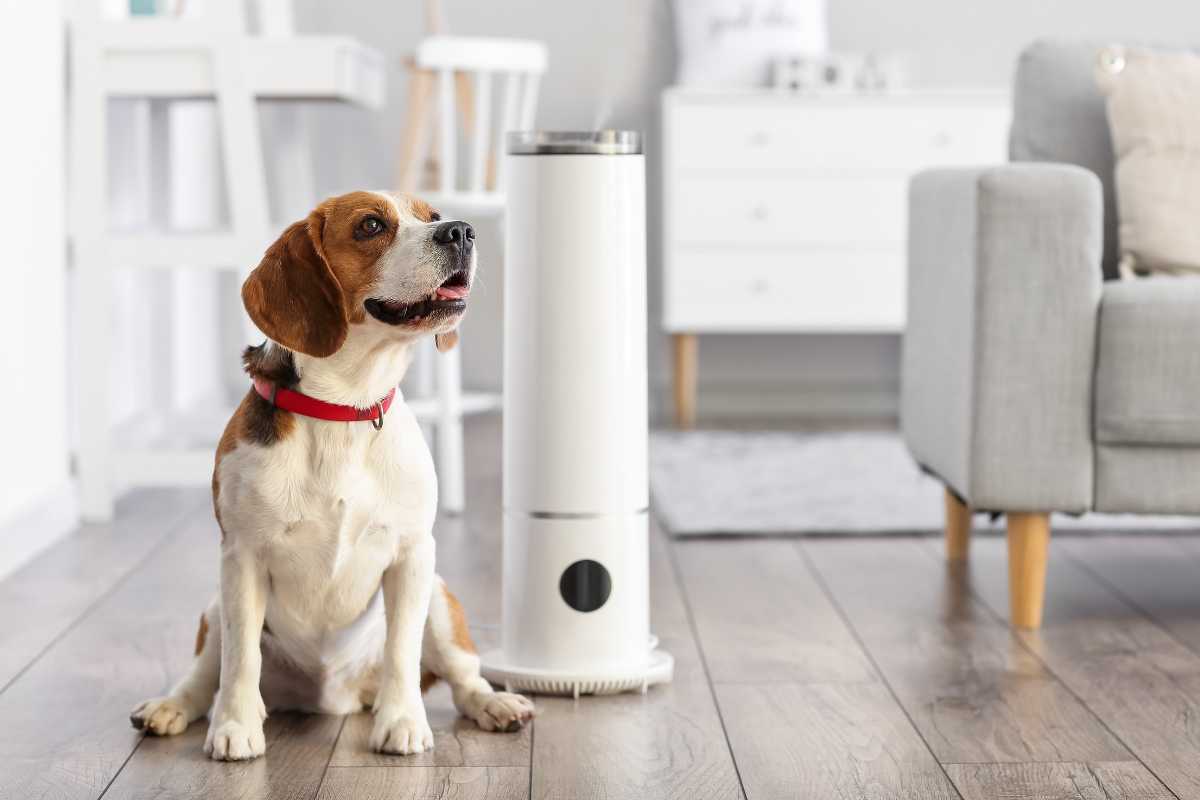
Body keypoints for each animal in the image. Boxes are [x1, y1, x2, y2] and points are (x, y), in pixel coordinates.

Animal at [127, 190, 535, 762]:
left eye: (432, 217)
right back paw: (172, 706)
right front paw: (234, 727)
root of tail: (332, 698)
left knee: (462, 673)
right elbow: (240, 660)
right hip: (213, 607)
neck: (345, 409)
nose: (460, 230)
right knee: (206, 674)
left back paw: (493, 704)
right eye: (371, 226)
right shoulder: (241, 558)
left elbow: (402, 650)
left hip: (439, 597)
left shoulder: (413, 554)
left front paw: (402, 721)